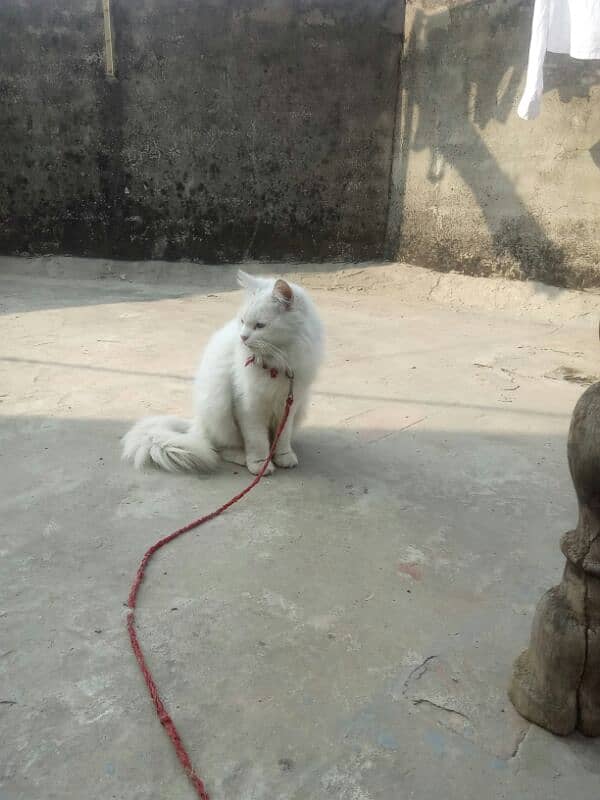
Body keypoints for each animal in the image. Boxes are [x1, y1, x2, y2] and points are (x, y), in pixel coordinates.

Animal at [121, 272, 324, 476]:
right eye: (243, 322)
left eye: (260, 326)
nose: (243, 337)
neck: (278, 362)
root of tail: (196, 423)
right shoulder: (249, 407)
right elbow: (257, 440)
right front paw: (260, 464)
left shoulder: (290, 404)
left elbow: (282, 437)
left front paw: (283, 457)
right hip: (218, 407)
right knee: (220, 448)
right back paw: (242, 457)